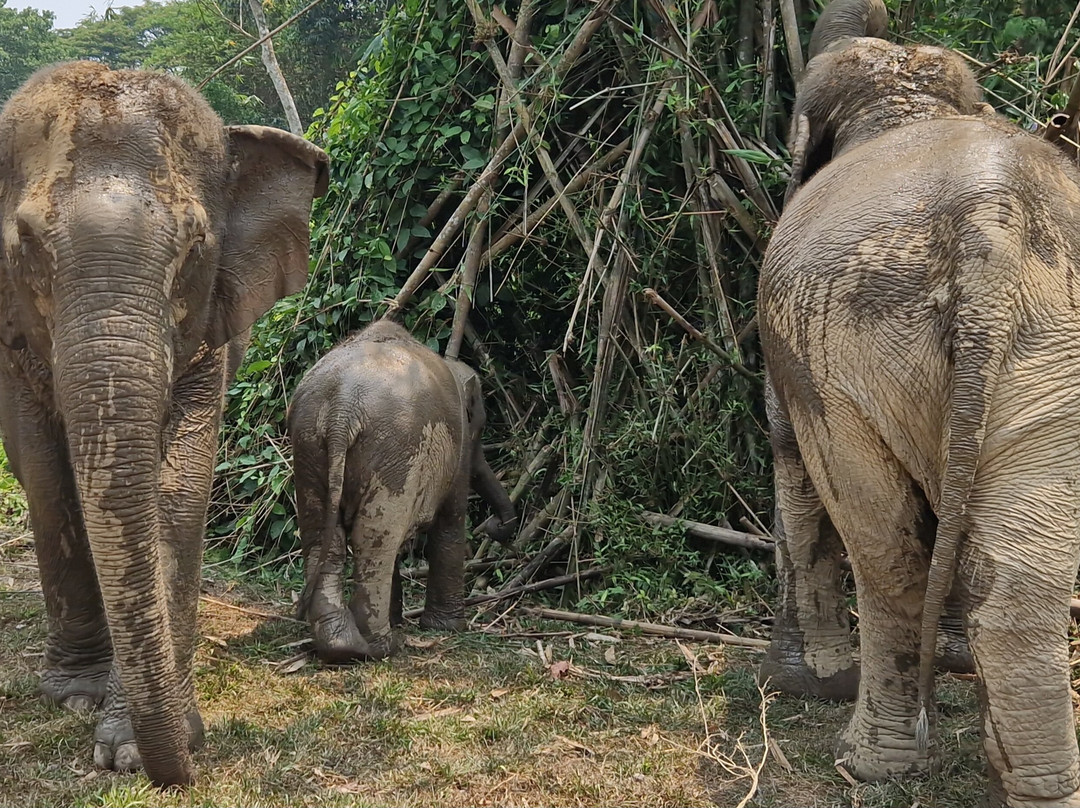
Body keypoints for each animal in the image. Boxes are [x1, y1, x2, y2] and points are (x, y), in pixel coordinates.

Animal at [0, 62, 328, 786]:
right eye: (25, 241)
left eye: (196, 243)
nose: (184, 769)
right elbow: (44, 474)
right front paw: (76, 697)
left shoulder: (211, 329)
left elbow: (179, 487)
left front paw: (135, 740)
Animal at [287, 319, 518, 663]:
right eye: (480, 425)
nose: (493, 525)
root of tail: (342, 406)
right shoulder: (459, 448)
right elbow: (450, 523)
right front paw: (447, 628)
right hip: (393, 449)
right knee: (374, 538)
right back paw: (381, 646)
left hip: (310, 444)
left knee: (325, 537)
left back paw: (343, 647)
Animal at [757, 1, 1080, 805]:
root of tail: (990, 225)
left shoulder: (793, 356)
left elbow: (789, 459)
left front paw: (800, 685)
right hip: (1051, 347)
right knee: (1018, 577)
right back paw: (1038, 786)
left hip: (848, 352)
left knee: (887, 549)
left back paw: (867, 761)